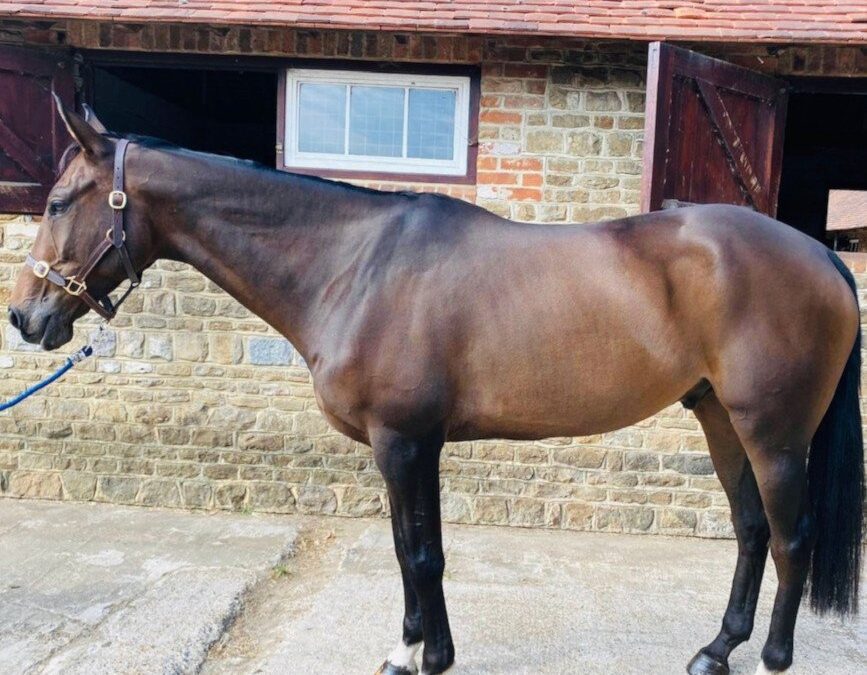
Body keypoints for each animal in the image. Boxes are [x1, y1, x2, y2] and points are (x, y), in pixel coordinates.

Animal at [7, 101, 863, 675]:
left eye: (57, 202)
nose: (25, 315)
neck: (354, 264)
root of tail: (822, 255)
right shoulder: (400, 448)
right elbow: (402, 547)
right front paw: (406, 645)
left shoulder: (405, 441)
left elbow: (421, 552)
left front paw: (431, 655)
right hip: (718, 416)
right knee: (750, 530)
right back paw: (716, 647)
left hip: (773, 433)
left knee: (789, 536)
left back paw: (772, 655)